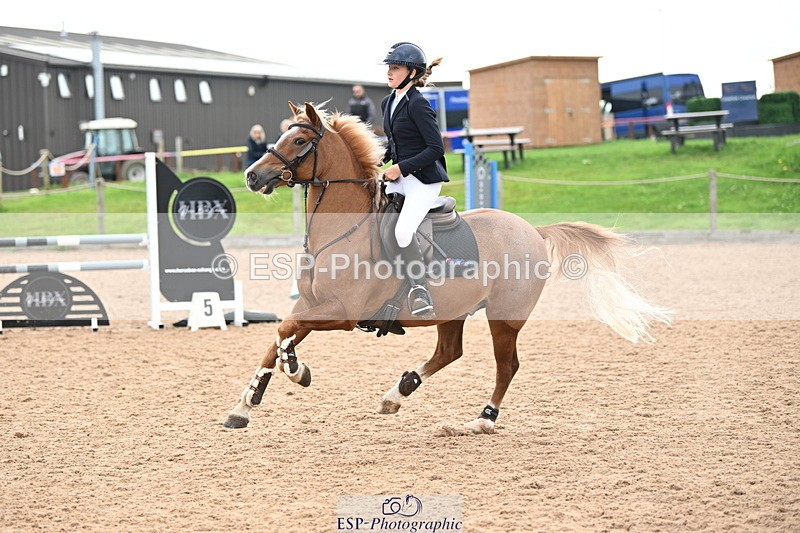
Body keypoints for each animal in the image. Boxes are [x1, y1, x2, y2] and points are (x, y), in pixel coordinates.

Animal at [224, 101, 671, 433]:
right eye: (282, 134)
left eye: (299, 139)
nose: (251, 176)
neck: (342, 231)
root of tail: (532, 229)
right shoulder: (311, 305)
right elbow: (279, 337)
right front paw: (247, 403)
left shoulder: (343, 313)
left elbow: (284, 332)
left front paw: (296, 372)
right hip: (452, 309)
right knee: (449, 352)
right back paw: (399, 392)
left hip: (504, 317)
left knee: (506, 366)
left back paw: (482, 419)